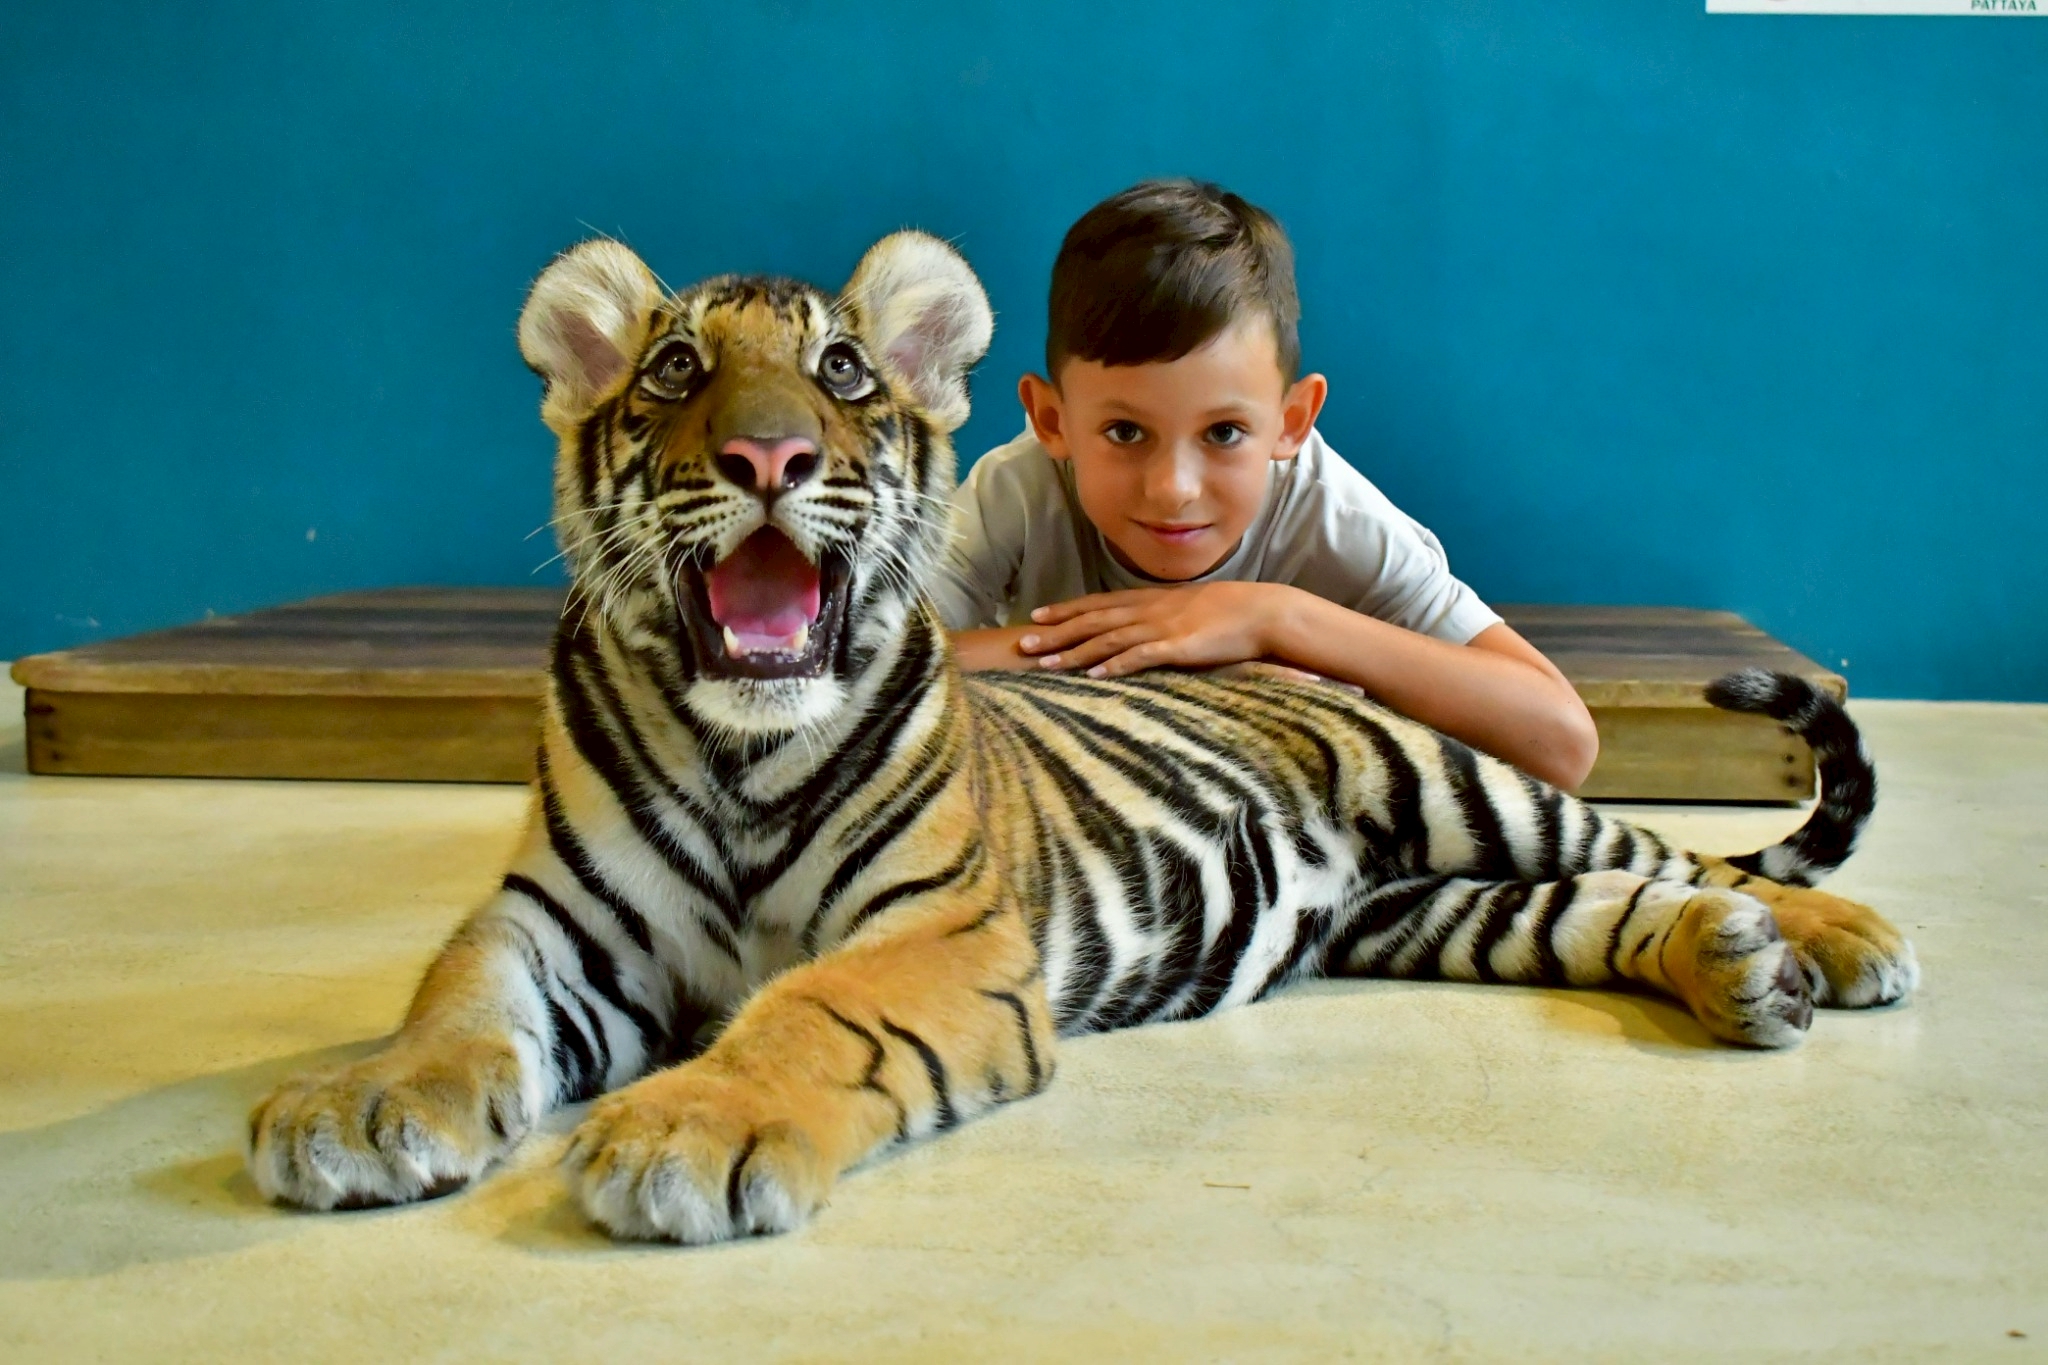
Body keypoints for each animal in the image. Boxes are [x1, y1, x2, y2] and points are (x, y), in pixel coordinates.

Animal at [246, 230, 1920, 1245]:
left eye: (842, 375)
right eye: (673, 372)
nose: (770, 453)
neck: (738, 749)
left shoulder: (937, 932)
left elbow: (805, 1011)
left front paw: (685, 1130)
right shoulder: (555, 923)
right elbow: (456, 997)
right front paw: (361, 1103)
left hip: (1472, 790)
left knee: (1682, 855)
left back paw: (1837, 941)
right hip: (1432, 910)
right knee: (1609, 907)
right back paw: (1737, 974)